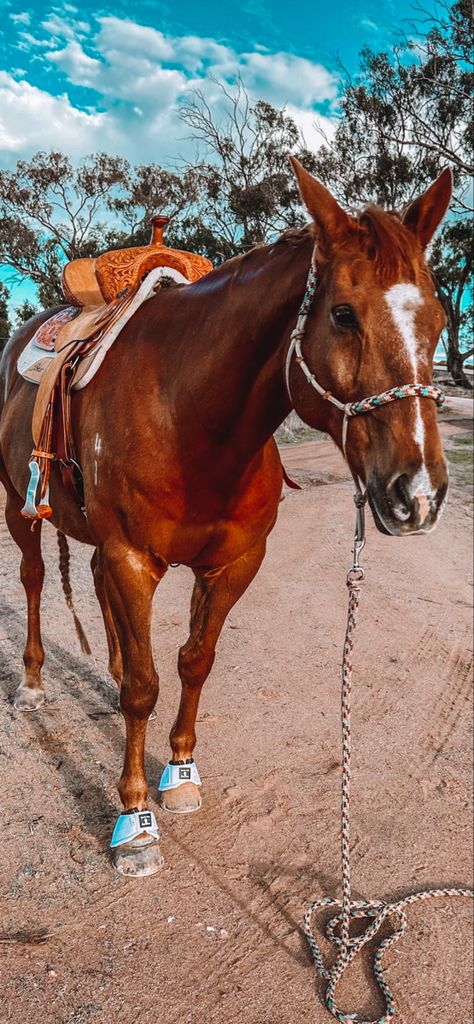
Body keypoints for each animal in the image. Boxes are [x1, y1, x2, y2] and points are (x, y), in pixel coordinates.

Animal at [0, 159, 452, 872]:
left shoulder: (233, 563)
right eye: (343, 314)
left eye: (437, 318)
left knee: (95, 590)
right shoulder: (134, 557)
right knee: (36, 579)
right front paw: (135, 819)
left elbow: (193, 662)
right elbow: (145, 688)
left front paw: (180, 776)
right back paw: (34, 683)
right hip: (22, 509)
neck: (189, 414)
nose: (419, 494)